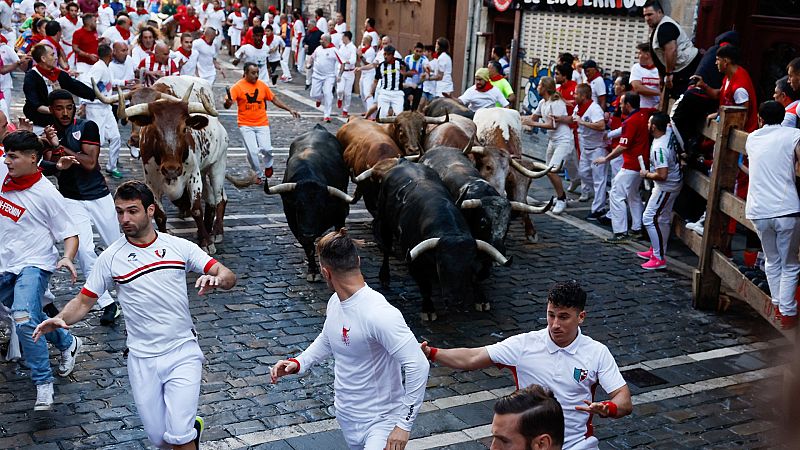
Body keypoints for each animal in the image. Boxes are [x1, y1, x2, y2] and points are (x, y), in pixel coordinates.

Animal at [96, 75, 231, 255]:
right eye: (154, 130)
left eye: (184, 129)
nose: (171, 169)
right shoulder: (152, 183)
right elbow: (160, 215)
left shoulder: (193, 177)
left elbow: (196, 209)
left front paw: (206, 243)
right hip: (204, 171)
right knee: (211, 199)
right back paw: (207, 228)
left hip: (217, 166)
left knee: (219, 198)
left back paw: (216, 232)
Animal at [262, 125, 354, 282]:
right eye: (298, 205)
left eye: (321, 207)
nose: (309, 233)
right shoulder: (293, 221)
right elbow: (308, 247)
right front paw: (313, 271)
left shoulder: (340, 216)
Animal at [374, 158, 510, 320]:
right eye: (442, 266)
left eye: (467, 268)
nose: (455, 301)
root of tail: (405, 162)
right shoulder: (414, 263)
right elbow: (425, 288)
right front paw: (428, 310)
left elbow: (477, 276)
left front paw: (481, 299)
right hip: (384, 222)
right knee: (386, 249)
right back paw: (384, 277)